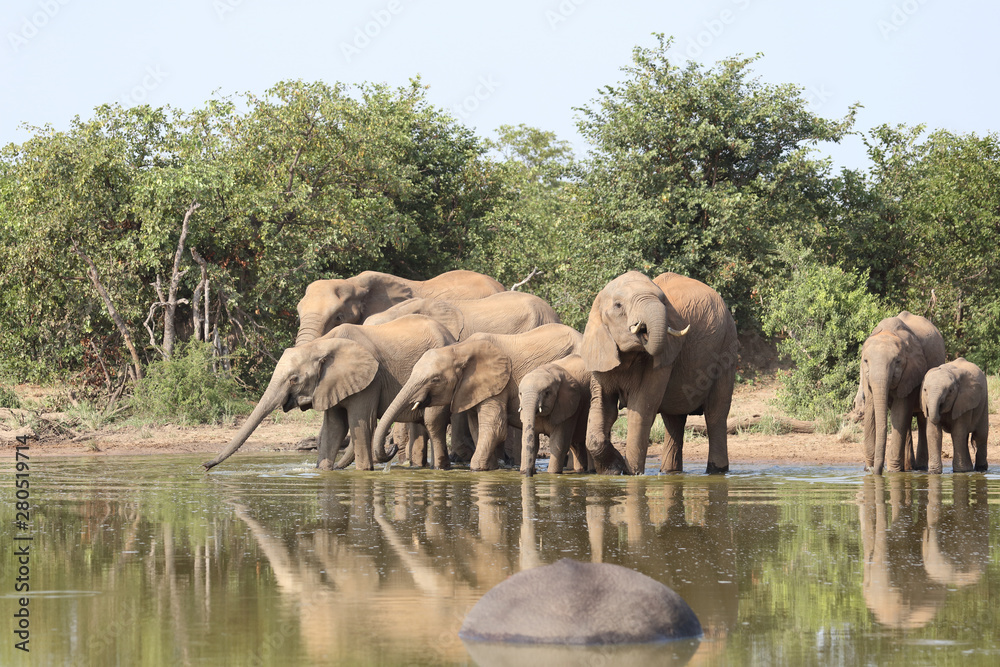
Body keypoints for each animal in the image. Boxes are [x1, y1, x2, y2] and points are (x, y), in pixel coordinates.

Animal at [202, 315, 456, 472]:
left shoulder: (370, 381)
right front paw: (324, 471)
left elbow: (359, 423)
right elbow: (334, 427)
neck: (321, 345)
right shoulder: (332, 384)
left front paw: (363, 471)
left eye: (294, 379)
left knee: (432, 421)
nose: (204, 465)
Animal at [371, 323, 584, 471]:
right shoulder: (472, 389)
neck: (460, 349)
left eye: (435, 379)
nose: (392, 445)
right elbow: (477, 426)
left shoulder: (499, 384)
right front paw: (490, 467)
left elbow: (495, 427)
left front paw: (477, 469)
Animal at [581, 271, 737, 475]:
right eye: (618, 305)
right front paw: (613, 470)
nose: (643, 328)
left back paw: (716, 471)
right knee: (674, 421)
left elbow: (641, 407)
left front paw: (631, 473)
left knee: (715, 414)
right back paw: (670, 472)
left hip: (727, 347)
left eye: (664, 302)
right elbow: (602, 406)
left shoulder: (662, 361)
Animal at [860, 311, 946, 474]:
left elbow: (899, 412)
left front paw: (892, 471)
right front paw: (868, 469)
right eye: (866, 361)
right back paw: (908, 467)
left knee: (921, 419)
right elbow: (870, 411)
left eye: (897, 361)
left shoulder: (912, 372)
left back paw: (919, 467)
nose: (876, 470)